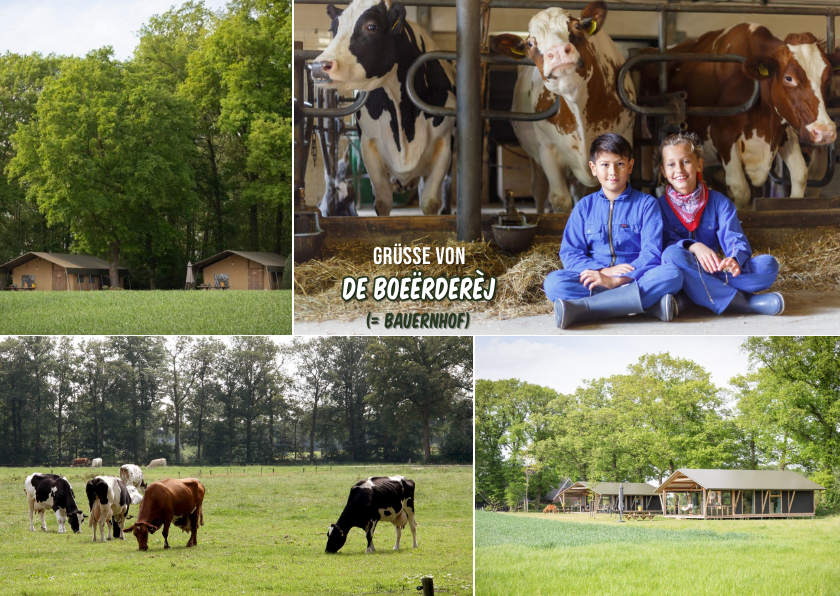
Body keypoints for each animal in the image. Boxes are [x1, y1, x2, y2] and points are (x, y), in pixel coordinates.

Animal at [312, 0, 456, 218]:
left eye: (372, 26)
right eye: (333, 29)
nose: (318, 66)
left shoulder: (444, 142)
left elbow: (430, 201)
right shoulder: (368, 145)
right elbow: (382, 202)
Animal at [492, 1, 636, 212]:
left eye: (576, 26)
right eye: (530, 44)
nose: (559, 52)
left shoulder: (625, 135)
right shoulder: (547, 149)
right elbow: (560, 200)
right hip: (535, 158)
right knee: (539, 189)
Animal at [648, 23, 840, 207]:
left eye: (827, 78)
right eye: (789, 78)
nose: (825, 131)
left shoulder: (783, 131)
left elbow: (800, 175)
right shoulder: (724, 137)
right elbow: (740, 190)